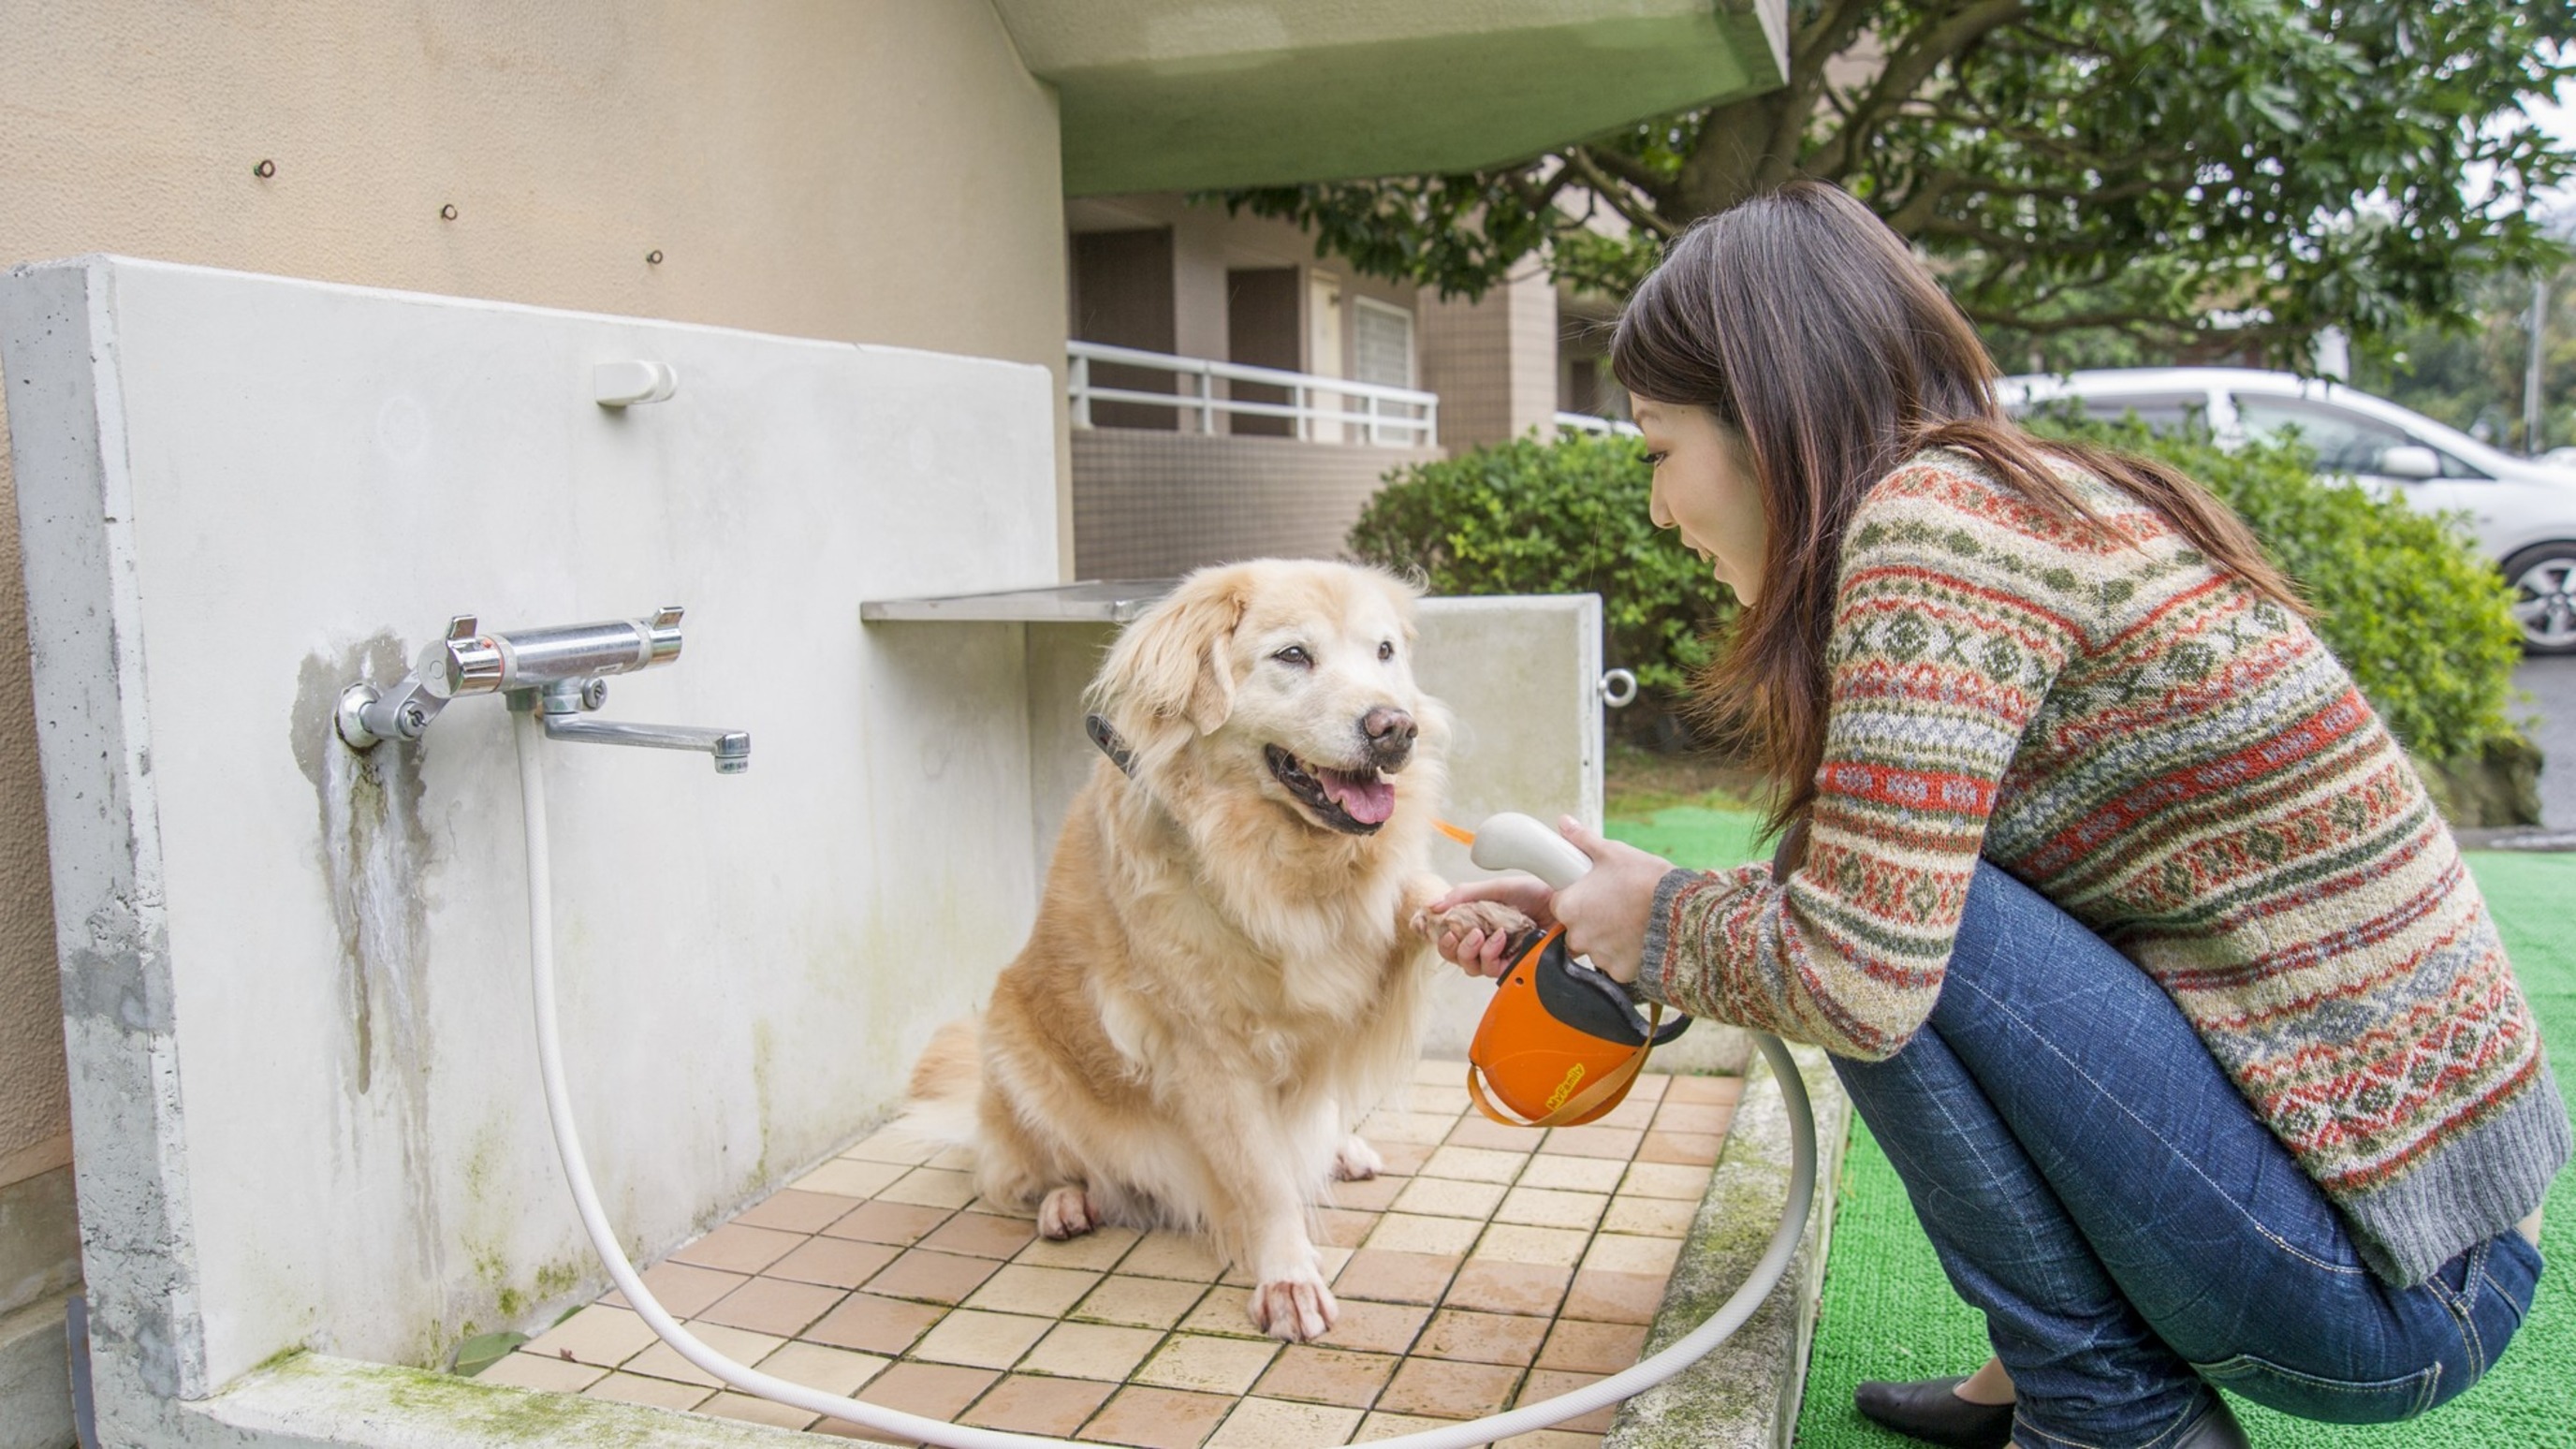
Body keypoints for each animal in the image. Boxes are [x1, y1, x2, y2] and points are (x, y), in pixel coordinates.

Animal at [906, 559, 1504, 1340]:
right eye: (1293, 655)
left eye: (1384, 652)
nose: (1393, 727)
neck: (1271, 855)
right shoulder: (1208, 1053)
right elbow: (1264, 1178)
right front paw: (1288, 1278)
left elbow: (1414, 893)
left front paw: (1474, 914)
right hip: (1012, 1047)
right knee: (1024, 1171)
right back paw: (1065, 1202)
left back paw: (1341, 1148)